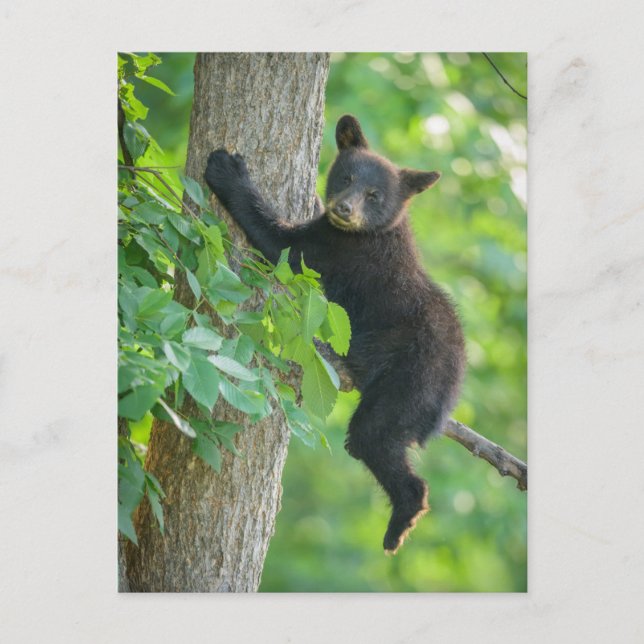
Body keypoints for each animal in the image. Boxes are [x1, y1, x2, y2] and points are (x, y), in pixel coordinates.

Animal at [204, 114, 466, 554]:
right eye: (346, 177)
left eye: (375, 195)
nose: (344, 208)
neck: (371, 232)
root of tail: (453, 388)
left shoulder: (338, 250)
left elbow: (282, 246)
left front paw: (228, 170)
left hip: (409, 381)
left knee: (372, 437)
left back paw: (400, 522)